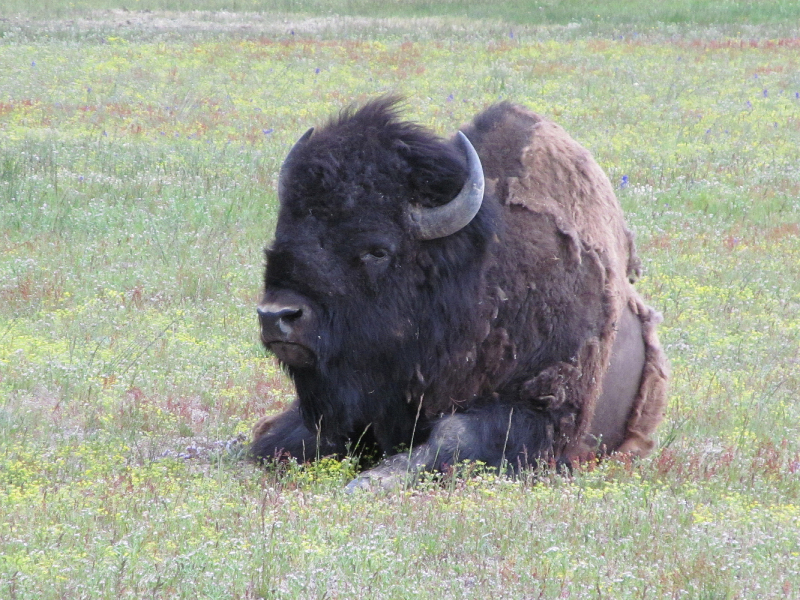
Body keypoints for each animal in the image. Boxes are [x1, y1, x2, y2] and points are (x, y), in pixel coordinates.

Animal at [252, 95, 668, 488]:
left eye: (377, 250)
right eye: (280, 237)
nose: (277, 316)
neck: (476, 281)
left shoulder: (543, 413)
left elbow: (454, 434)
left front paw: (372, 480)